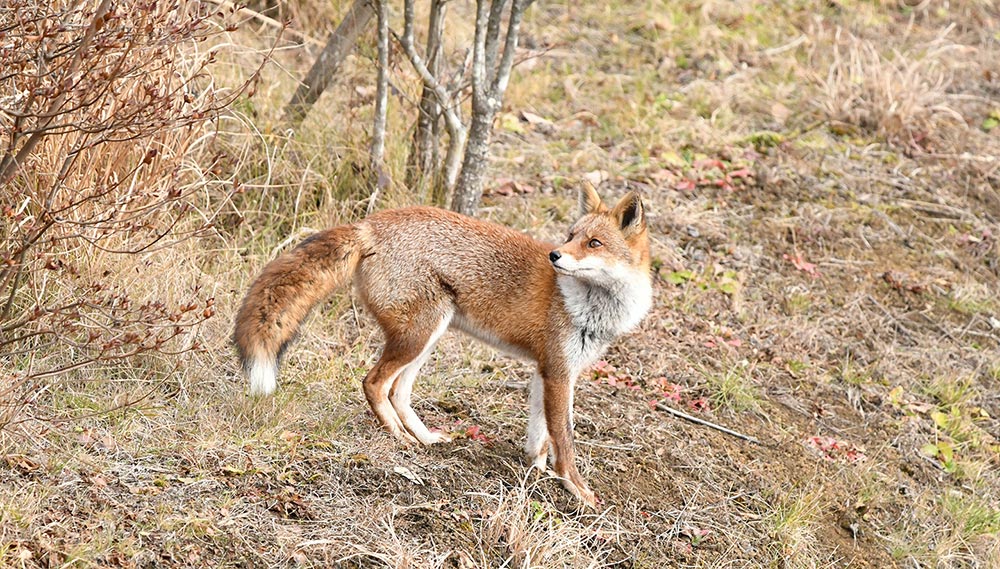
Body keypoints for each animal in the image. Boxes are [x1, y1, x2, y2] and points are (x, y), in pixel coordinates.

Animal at [234, 184, 656, 504]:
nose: (555, 255)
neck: (590, 308)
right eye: (571, 237)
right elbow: (564, 441)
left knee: (399, 393)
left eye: (594, 242)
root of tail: (370, 224)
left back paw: (424, 438)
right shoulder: (558, 372)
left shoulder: (545, 370)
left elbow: (539, 436)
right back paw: (398, 438)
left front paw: (535, 472)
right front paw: (578, 491)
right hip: (418, 334)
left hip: (427, 337)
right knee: (374, 383)